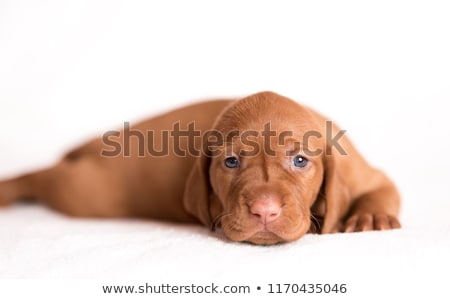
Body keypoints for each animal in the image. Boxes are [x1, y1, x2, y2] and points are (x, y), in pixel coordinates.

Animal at [0, 92, 400, 246]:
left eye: (300, 160)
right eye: (231, 162)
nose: (265, 211)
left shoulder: (362, 172)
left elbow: (383, 188)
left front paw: (370, 216)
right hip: (84, 191)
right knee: (43, 177)